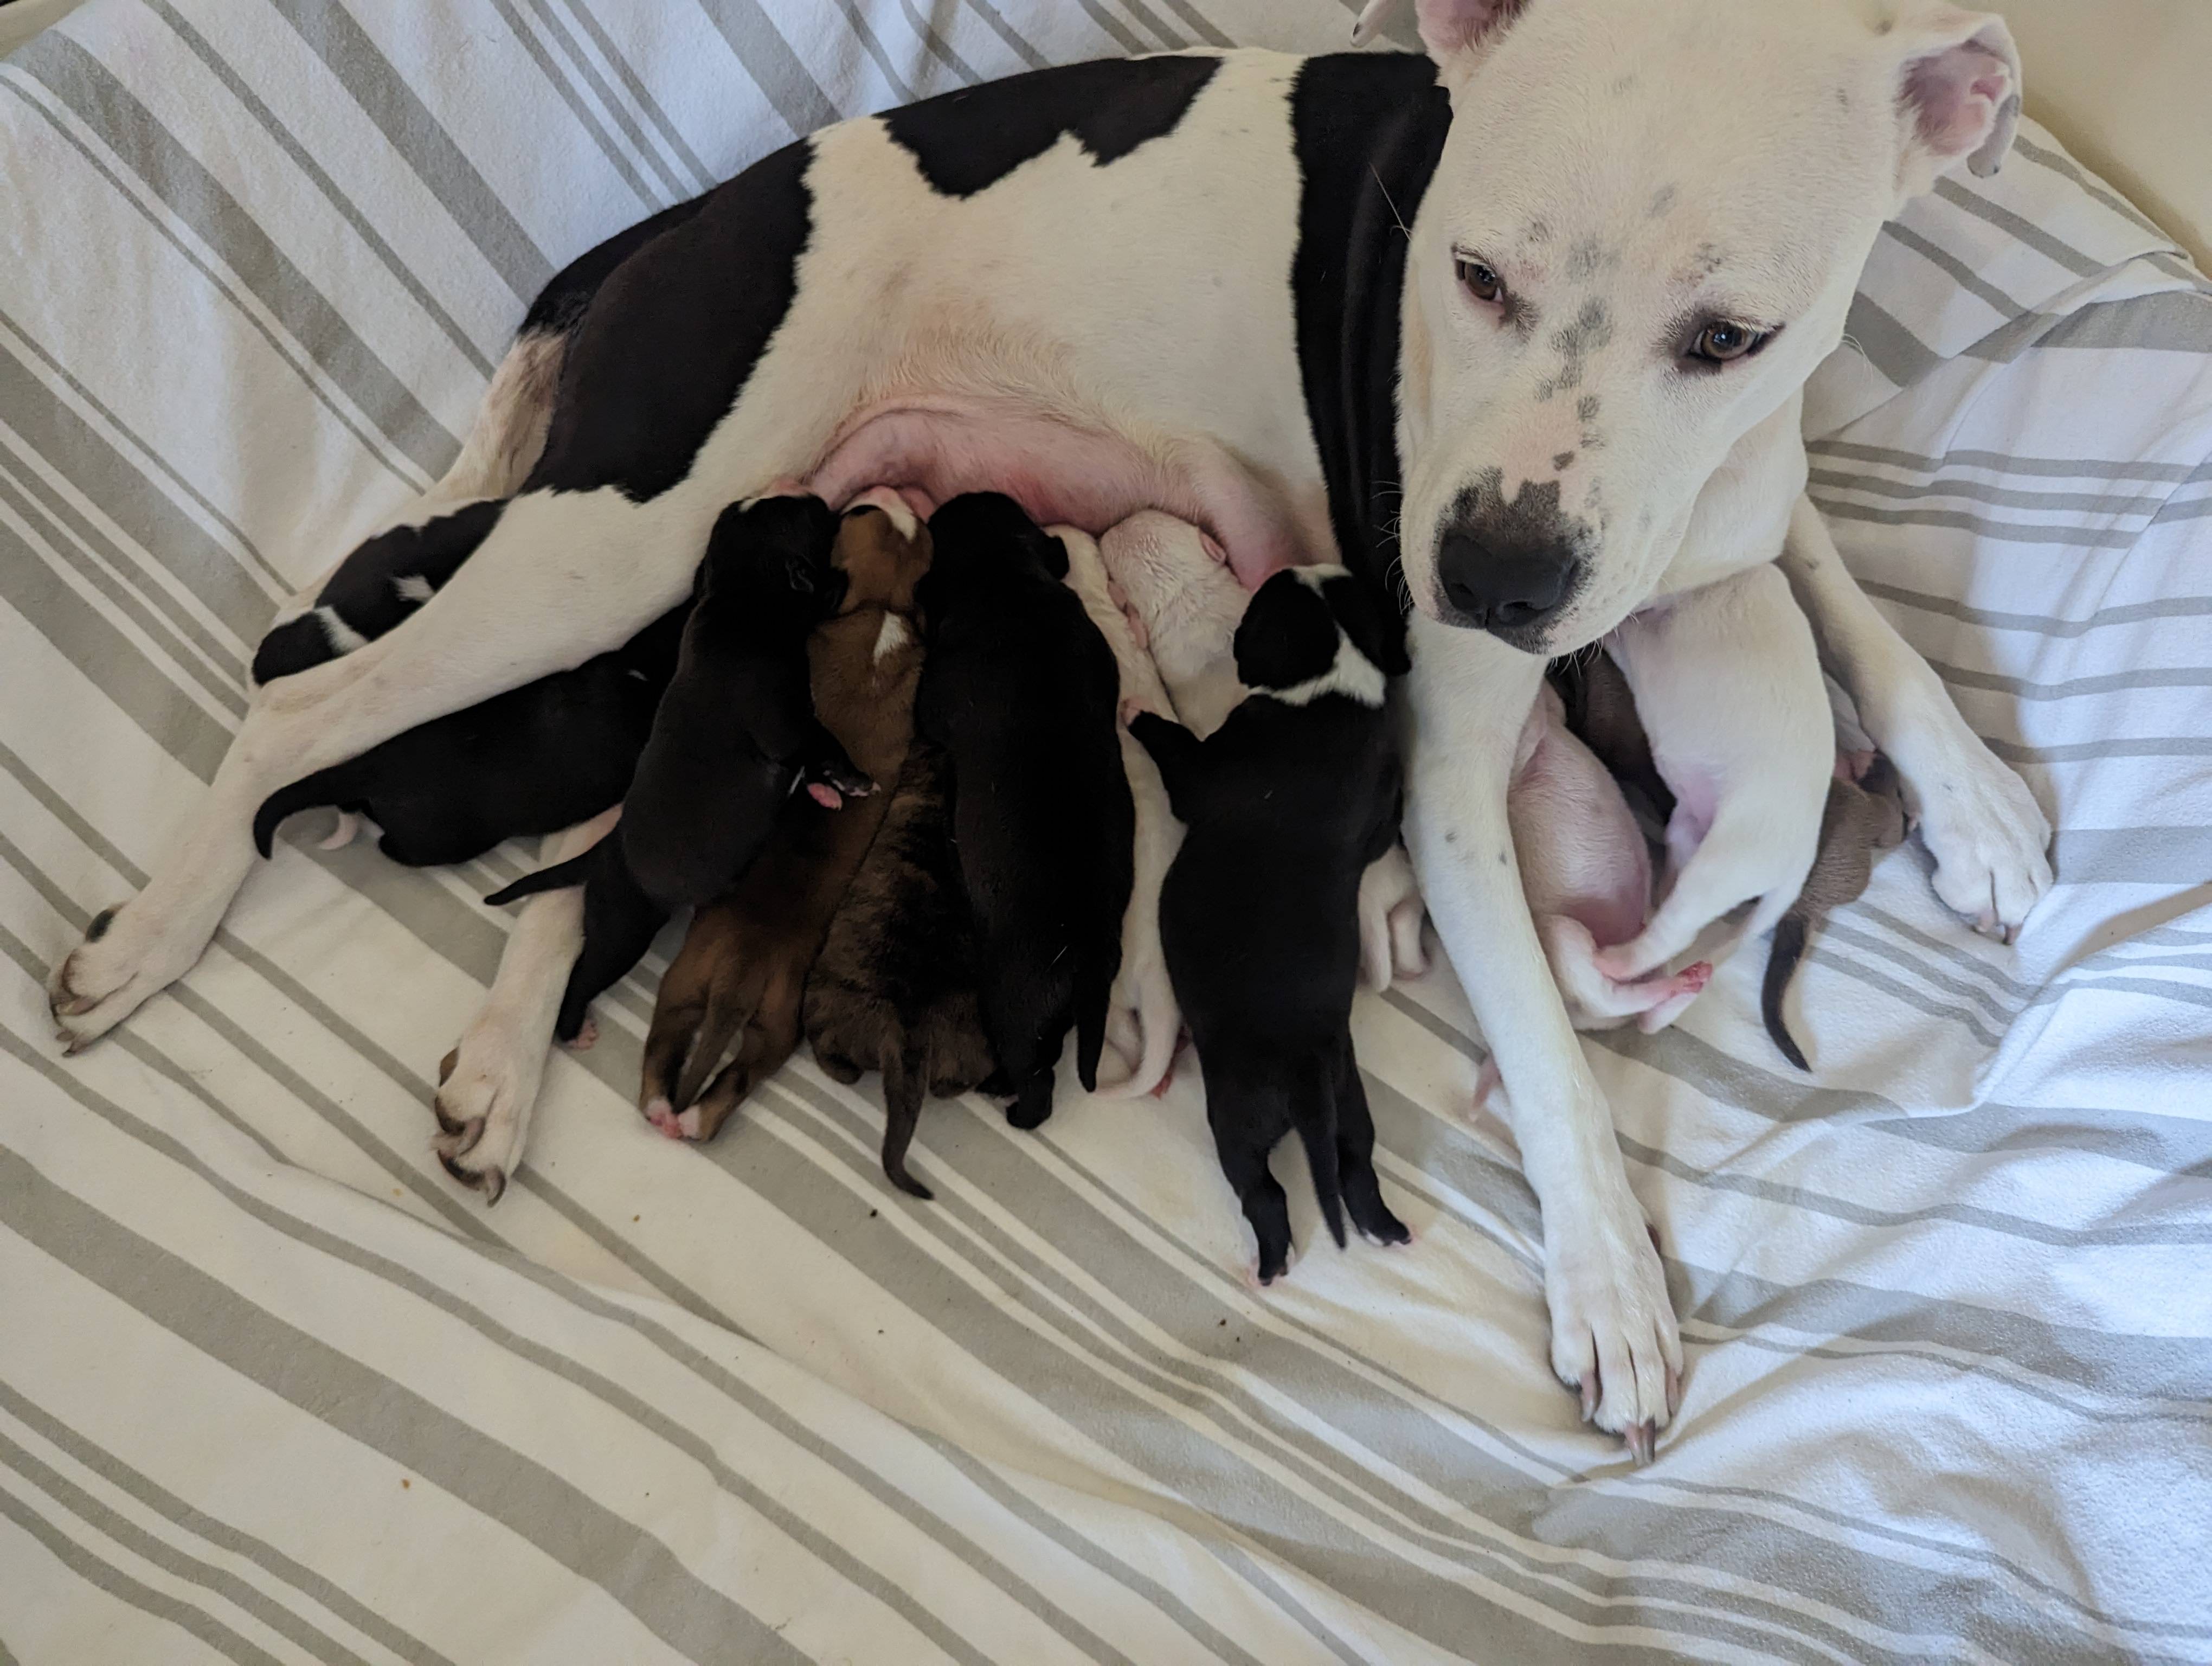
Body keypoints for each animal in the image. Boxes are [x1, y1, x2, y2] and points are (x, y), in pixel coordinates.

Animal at [636, 494, 929, 1140]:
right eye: (864, 511)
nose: (896, 496)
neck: (879, 607)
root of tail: (741, 969)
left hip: (707, 997)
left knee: (678, 1067)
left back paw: (673, 1113)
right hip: (743, 1013)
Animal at [802, 736, 996, 1199]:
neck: (936, 805)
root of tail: (907, 1036)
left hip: (823, 1006)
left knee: (834, 1059)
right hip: (970, 1045)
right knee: (956, 1082)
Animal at [915, 494, 1133, 1131]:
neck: (1005, 573)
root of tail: (1089, 957)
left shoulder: (932, 702)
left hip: (1012, 1006)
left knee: (1038, 1083)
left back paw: (1011, 1104)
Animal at [1131, 567, 1411, 1283]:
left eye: (1257, 610)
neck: (1335, 666)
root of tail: (1308, 1076)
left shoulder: (1210, 768)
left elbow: (1179, 751)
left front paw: (1141, 714)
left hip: (1237, 1121)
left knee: (1265, 1192)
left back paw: (1270, 1261)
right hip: (1351, 1104)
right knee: (1356, 1168)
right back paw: (1387, 1230)